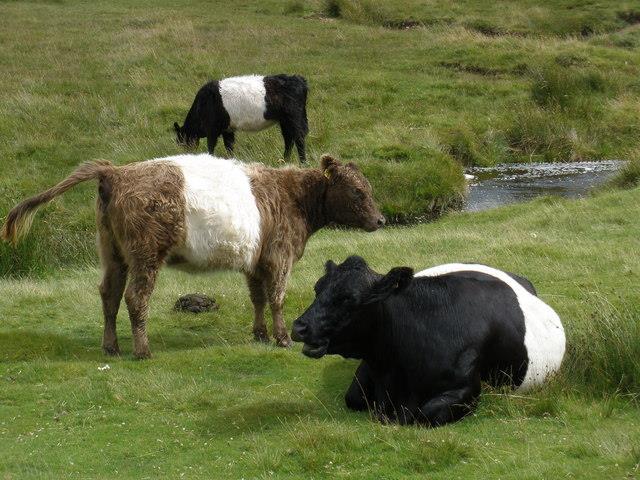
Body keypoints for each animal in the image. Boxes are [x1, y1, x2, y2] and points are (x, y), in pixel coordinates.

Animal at [172, 74, 308, 162]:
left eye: (182, 140)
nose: (185, 155)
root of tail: (298, 79)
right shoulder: (228, 129)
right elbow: (229, 147)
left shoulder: (212, 130)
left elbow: (211, 147)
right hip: (284, 121)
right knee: (289, 139)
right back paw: (285, 161)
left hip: (294, 118)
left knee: (299, 138)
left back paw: (302, 163)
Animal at [290, 256, 564, 426]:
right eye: (317, 289)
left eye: (349, 298)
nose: (299, 327)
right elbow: (353, 397)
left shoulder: (466, 389)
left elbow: (425, 414)